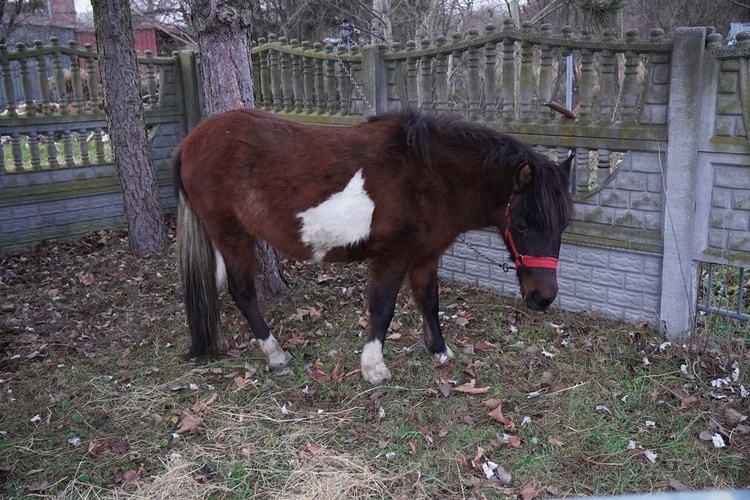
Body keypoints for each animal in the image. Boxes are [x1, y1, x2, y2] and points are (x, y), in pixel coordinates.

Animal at [175, 107, 576, 384]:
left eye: (563, 225)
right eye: (522, 224)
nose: (543, 298)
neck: (429, 176)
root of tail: (190, 141)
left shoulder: (425, 257)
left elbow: (429, 302)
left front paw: (439, 350)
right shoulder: (391, 257)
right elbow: (383, 309)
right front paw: (374, 368)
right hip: (232, 234)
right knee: (242, 292)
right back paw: (275, 355)